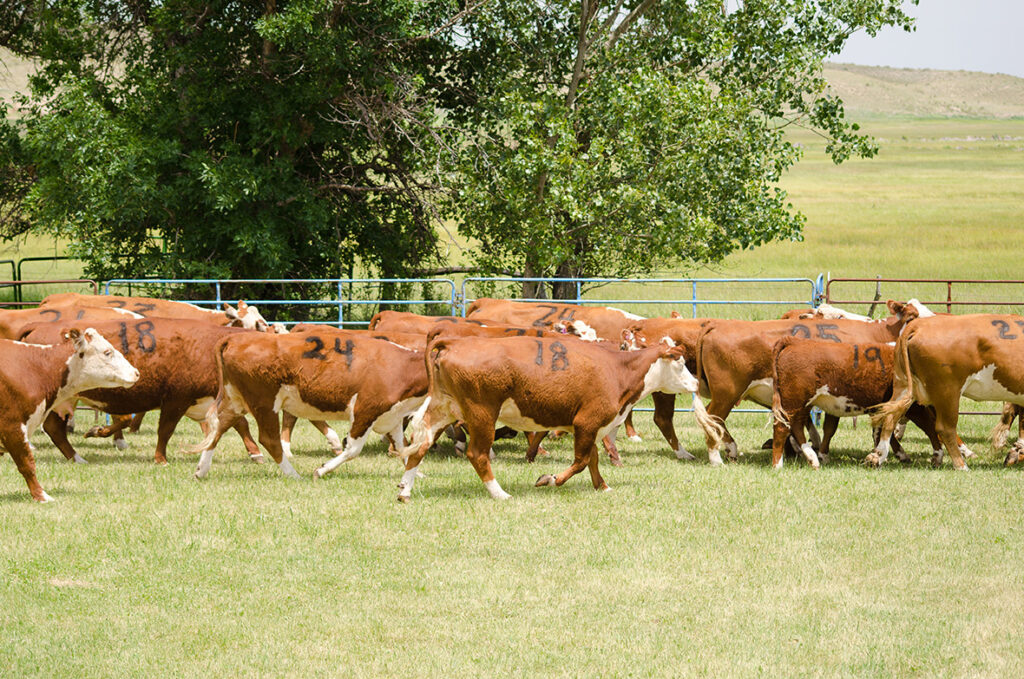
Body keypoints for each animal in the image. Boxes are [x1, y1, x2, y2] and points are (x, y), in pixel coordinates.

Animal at [0, 331, 139, 501]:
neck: (37, 369)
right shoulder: (12, 428)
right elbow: (27, 464)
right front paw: (42, 496)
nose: (136, 373)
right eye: (107, 352)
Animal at [20, 319, 266, 467]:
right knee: (53, 428)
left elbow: (241, 424)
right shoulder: (175, 400)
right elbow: (165, 430)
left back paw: (76, 457)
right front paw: (161, 459)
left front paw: (255, 453)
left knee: (54, 428)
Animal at [191, 329, 428, 481]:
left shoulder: (392, 417)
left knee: (219, 427)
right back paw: (294, 475)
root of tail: (236, 338)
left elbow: (403, 447)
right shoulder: (365, 411)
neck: (401, 367)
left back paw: (201, 470)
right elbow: (353, 450)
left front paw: (416, 472)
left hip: (235, 399)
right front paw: (321, 470)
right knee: (269, 439)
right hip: (264, 402)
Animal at [393, 335, 720, 501]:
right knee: (478, 454)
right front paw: (549, 479)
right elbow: (580, 461)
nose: (695, 383)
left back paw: (405, 491)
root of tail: (455, 343)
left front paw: (602, 486)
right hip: (482, 412)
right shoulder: (586, 422)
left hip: (444, 408)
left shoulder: (592, 426)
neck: (617, 370)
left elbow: (592, 459)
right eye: (679, 362)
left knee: (419, 446)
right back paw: (500, 493)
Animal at [872, 311, 1024, 467]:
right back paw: (961, 465)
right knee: (944, 428)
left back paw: (877, 456)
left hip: (903, 385)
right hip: (947, 392)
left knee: (889, 416)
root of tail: (917, 326)